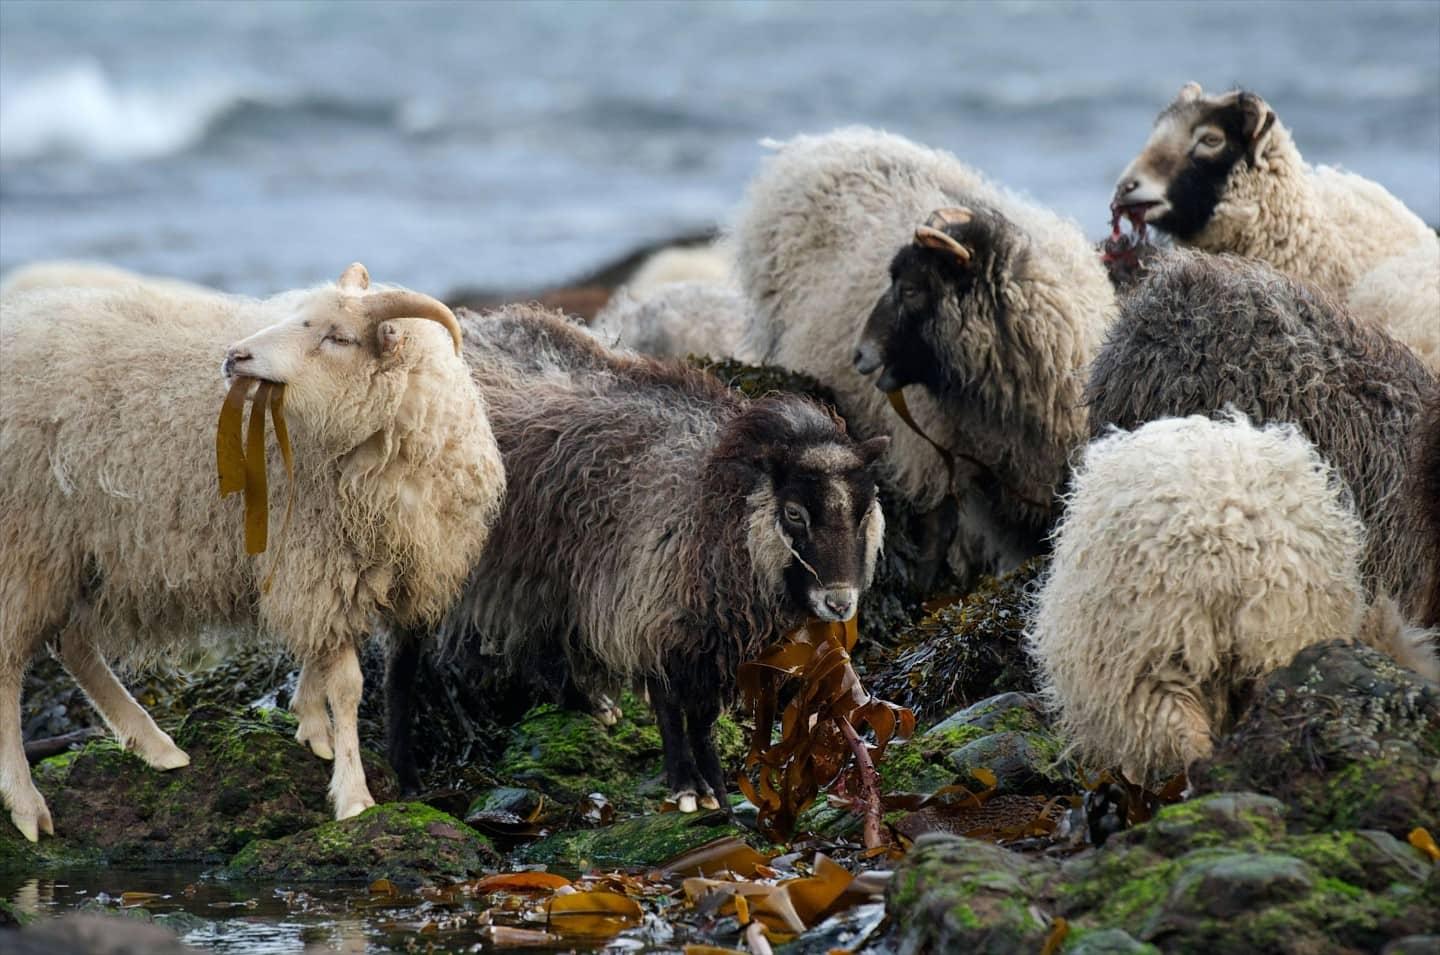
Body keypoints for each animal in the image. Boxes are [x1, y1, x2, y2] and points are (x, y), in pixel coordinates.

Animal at [0, 263, 506, 841]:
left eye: (337, 337)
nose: (234, 356)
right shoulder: (316, 558)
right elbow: (348, 685)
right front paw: (353, 793)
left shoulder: (343, 564)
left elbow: (322, 656)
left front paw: (311, 724)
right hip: (26, 542)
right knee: (10, 664)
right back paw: (26, 803)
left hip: (82, 551)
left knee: (74, 645)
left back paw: (155, 746)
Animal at [385, 305, 888, 809]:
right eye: (795, 513)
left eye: (865, 510)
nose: (840, 602)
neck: (712, 498)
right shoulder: (650, 610)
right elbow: (669, 708)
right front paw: (687, 787)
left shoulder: (708, 634)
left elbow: (702, 720)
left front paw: (718, 791)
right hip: (420, 554)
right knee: (402, 664)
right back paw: (406, 776)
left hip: (540, 567)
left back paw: (588, 702)